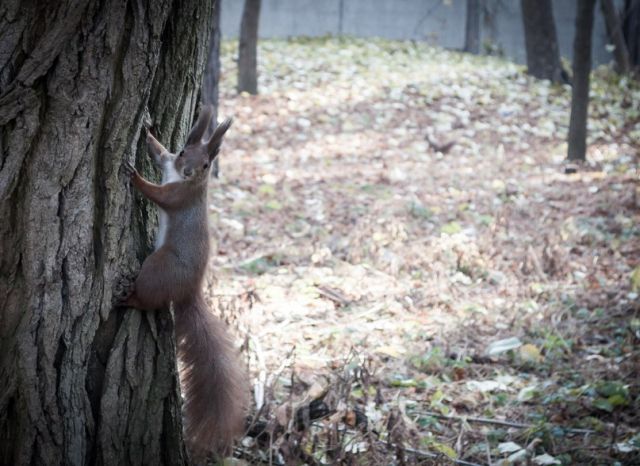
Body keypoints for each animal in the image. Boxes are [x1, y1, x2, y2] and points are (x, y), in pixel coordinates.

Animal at [120, 105, 248, 456]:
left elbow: (158, 195)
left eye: (206, 165)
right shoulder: (166, 162)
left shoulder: (178, 195)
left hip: (158, 267)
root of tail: (190, 291)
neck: (181, 179)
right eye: (182, 153)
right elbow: (157, 150)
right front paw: (146, 126)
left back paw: (130, 298)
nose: (189, 171)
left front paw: (135, 176)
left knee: (148, 299)